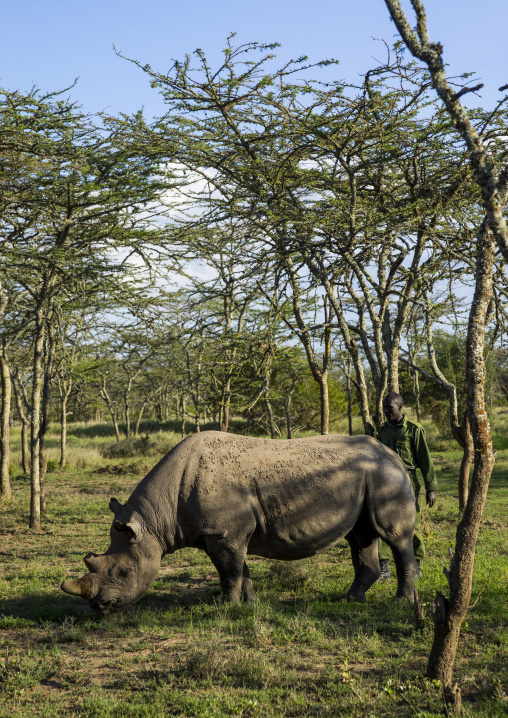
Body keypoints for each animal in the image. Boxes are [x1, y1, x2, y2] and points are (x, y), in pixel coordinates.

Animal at [61, 431, 416, 613]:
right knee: (361, 536)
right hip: (369, 476)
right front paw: (249, 604)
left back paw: (400, 603)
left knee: (394, 537)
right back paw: (351, 600)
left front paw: (225, 608)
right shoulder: (221, 532)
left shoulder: (224, 532)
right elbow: (238, 569)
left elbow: (228, 571)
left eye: (123, 573)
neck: (155, 520)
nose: (100, 608)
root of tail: (393, 453)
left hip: (385, 474)